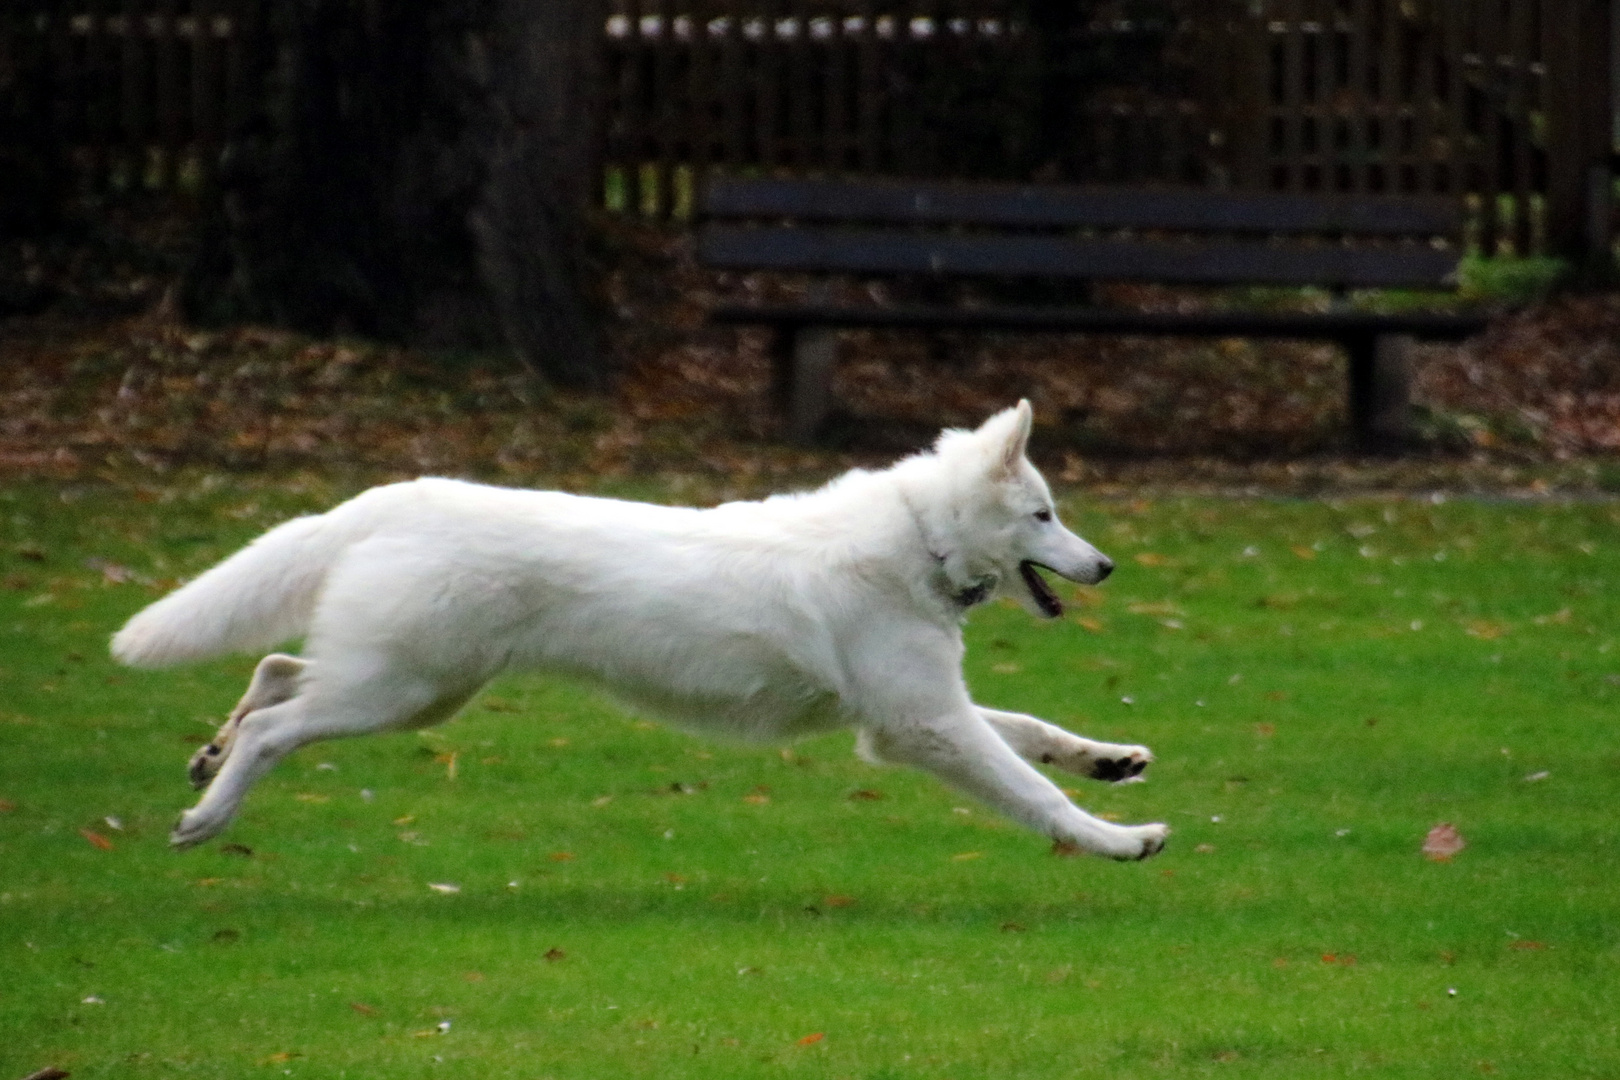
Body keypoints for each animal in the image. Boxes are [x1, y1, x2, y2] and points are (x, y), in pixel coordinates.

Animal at [117, 401, 1166, 867]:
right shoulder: (923, 727)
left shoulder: (911, 717)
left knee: (274, 668)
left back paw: (210, 757)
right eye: (1043, 515)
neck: (919, 538)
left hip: (415, 690)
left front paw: (1109, 760)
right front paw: (1118, 839)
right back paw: (209, 815)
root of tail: (395, 496)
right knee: (276, 724)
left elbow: (1031, 733)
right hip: (399, 691)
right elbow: (1030, 786)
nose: (1109, 567)